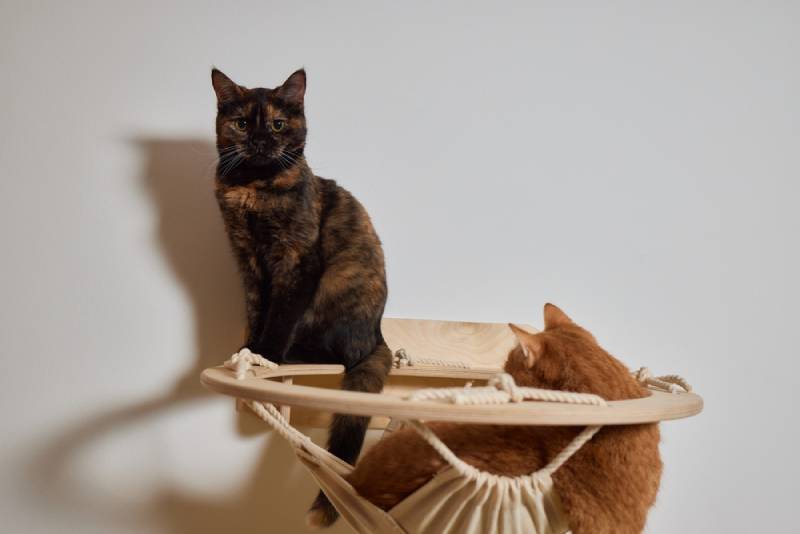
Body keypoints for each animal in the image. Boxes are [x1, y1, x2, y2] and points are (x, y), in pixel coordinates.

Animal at [211, 67, 390, 528]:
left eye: (277, 124)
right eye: (242, 123)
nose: (260, 142)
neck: (254, 187)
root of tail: (380, 336)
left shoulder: (296, 260)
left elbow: (280, 315)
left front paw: (266, 355)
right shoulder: (248, 260)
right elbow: (257, 309)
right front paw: (247, 351)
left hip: (336, 287)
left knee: (338, 352)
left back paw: (294, 354)